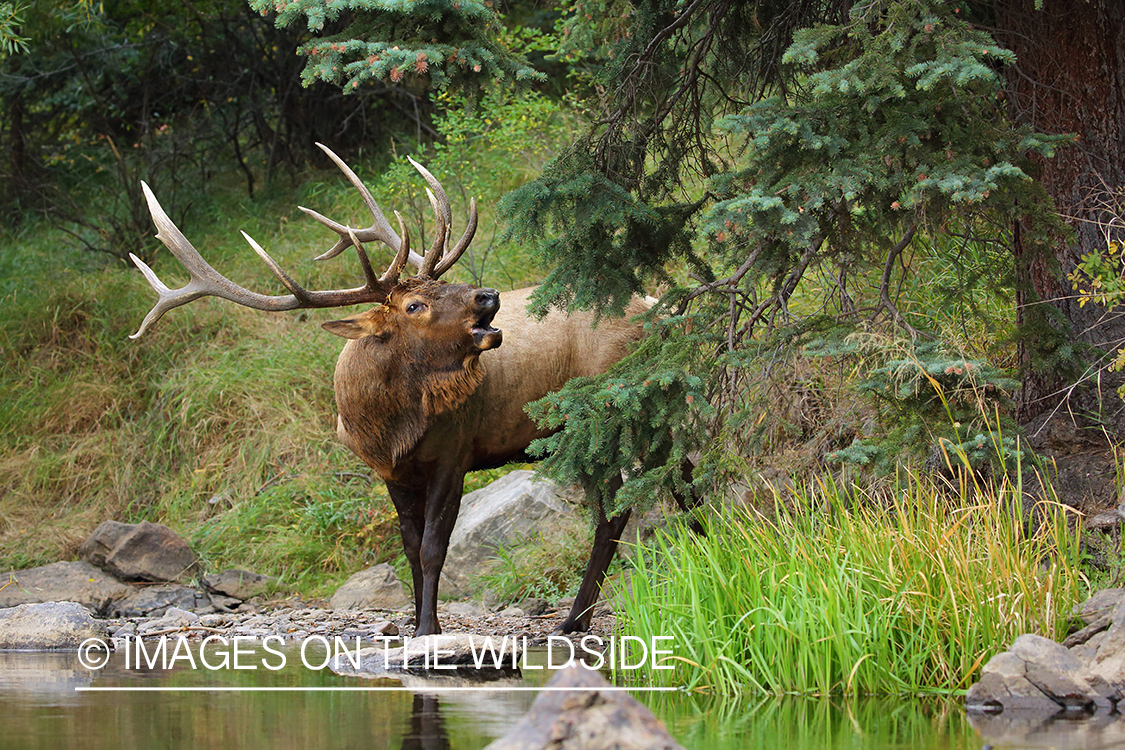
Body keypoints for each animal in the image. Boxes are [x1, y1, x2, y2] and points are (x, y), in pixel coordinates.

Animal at [129, 145, 657, 634]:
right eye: (415, 305)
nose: (488, 296)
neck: (383, 427)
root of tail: (655, 305)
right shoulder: (390, 472)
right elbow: (408, 547)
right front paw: (421, 623)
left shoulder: (455, 454)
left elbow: (433, 548)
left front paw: (427, 629)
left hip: (604, 415)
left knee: (614, 512)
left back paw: (573, 620)